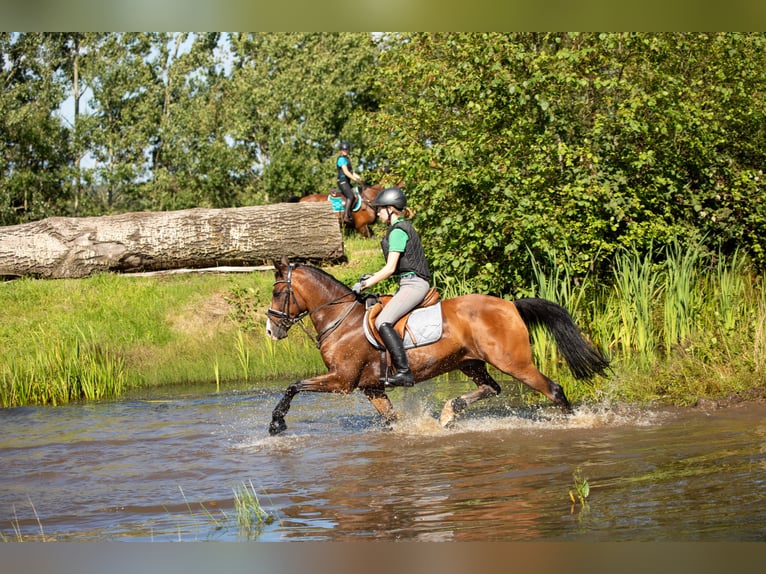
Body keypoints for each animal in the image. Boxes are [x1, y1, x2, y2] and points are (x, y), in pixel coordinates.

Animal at [264, 256, 612, 436]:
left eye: (278, 293)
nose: (271, 330)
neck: (342, 320)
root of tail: (510, 306)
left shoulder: (342, 381)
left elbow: (294, 386)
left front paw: (276, 424)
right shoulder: (370, 387)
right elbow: (393, 420)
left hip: (513, 362)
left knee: (553, 390)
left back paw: (576, 423)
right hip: (469, 362)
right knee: (491, 388)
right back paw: (449, 413)